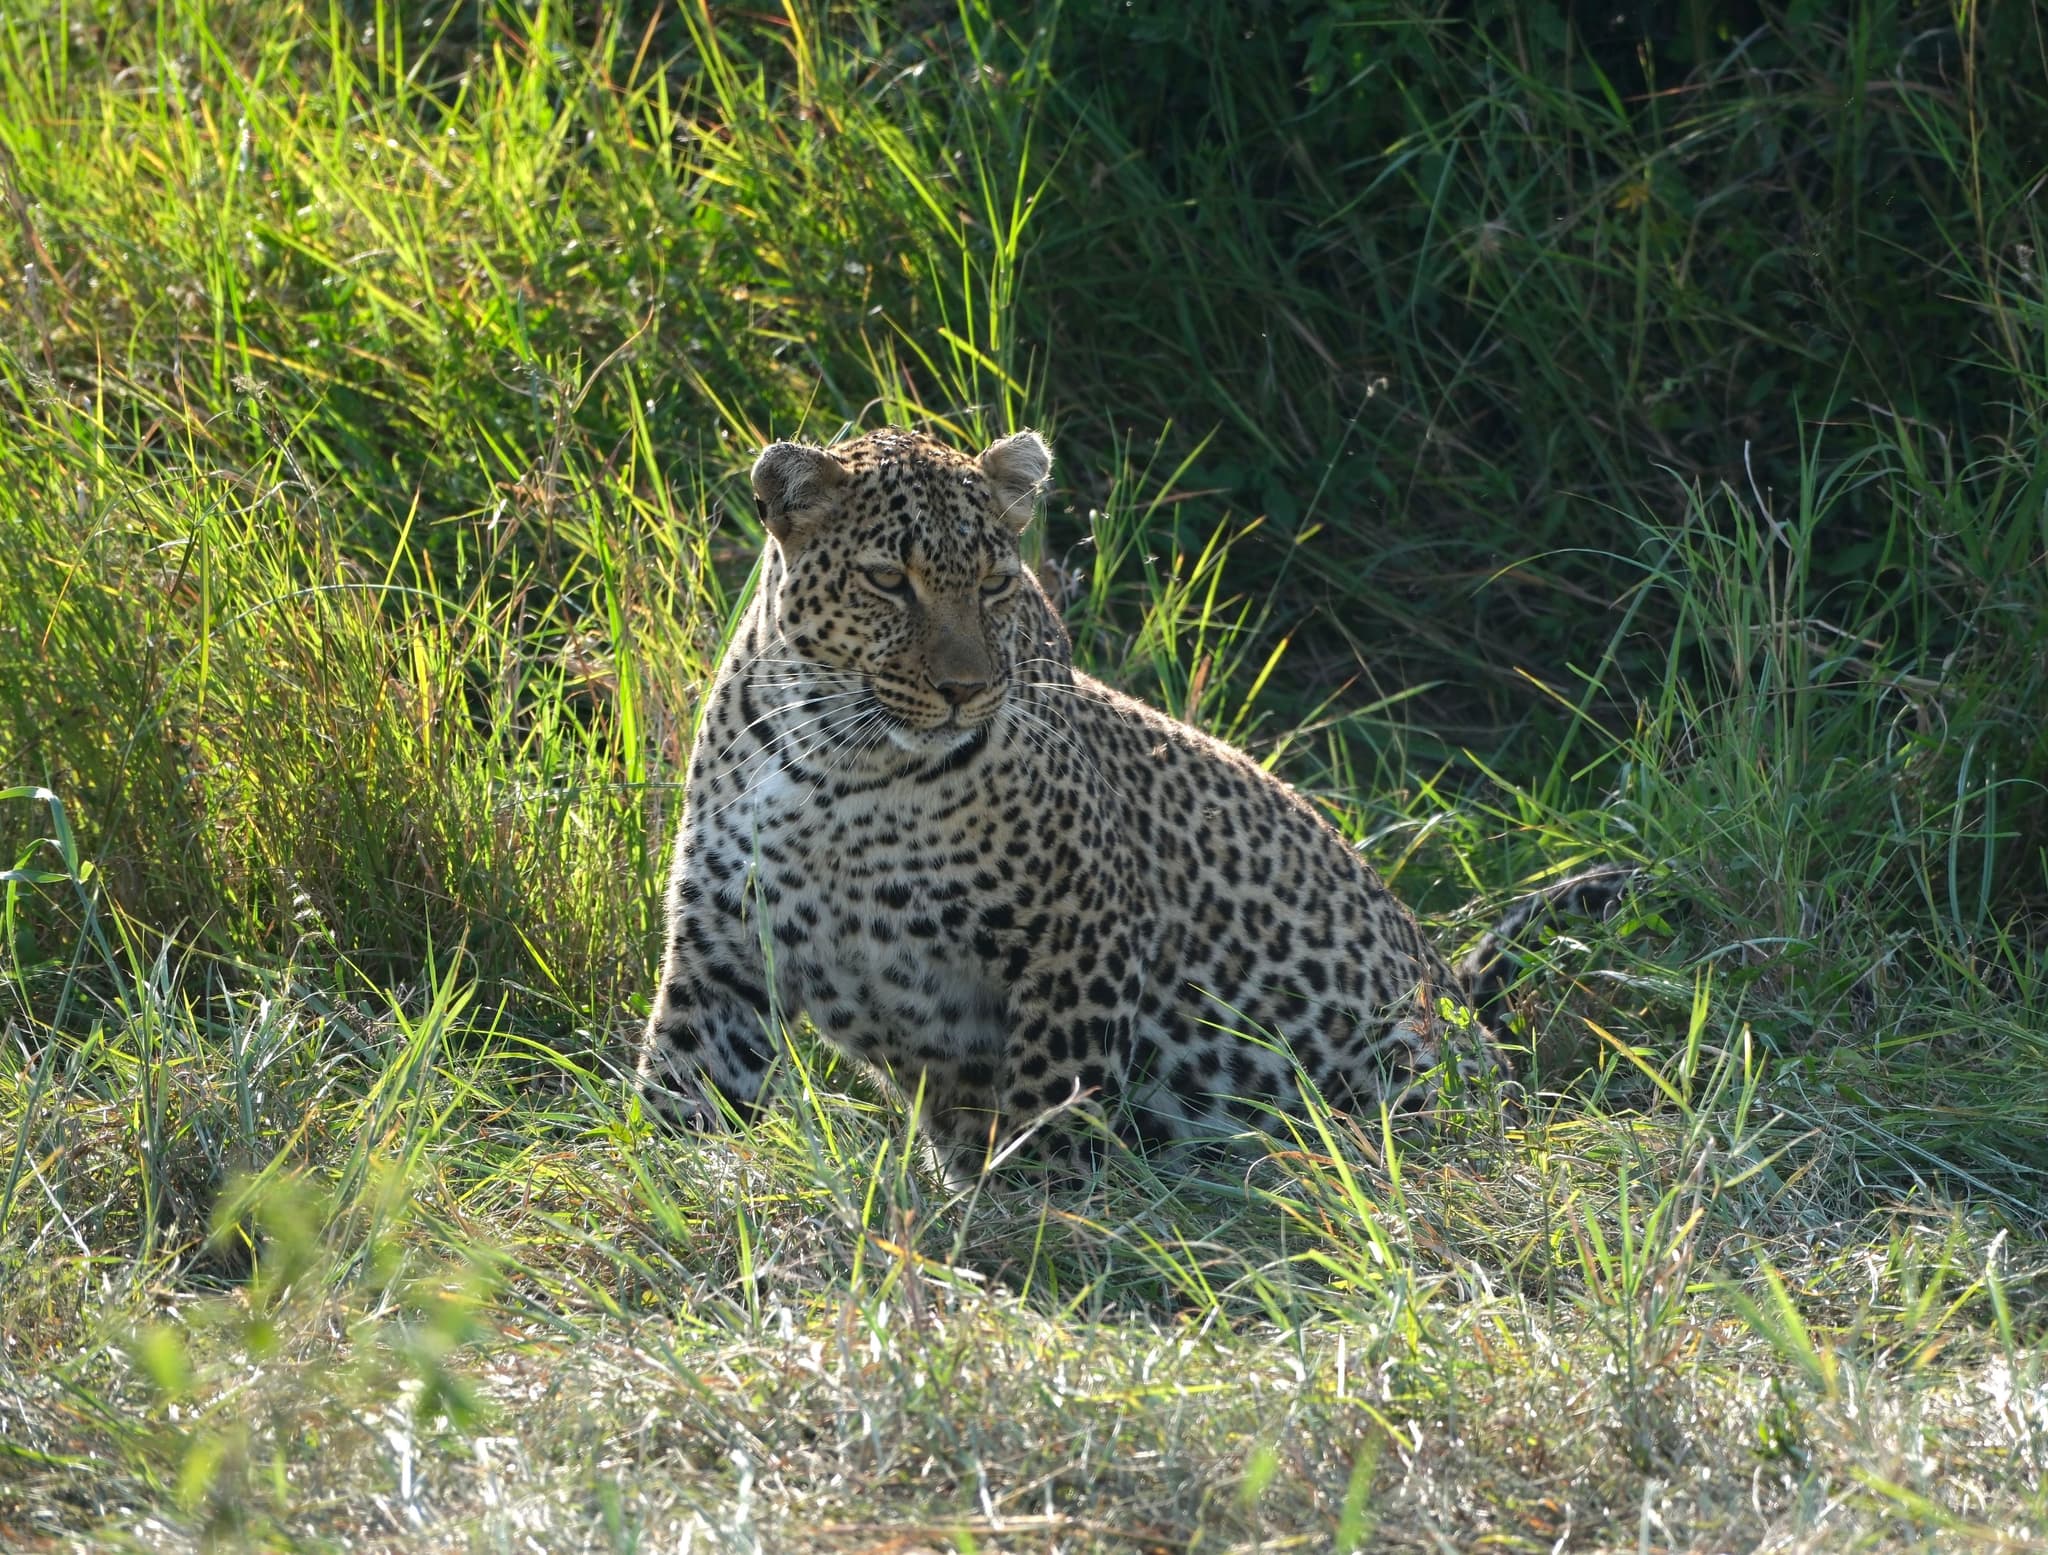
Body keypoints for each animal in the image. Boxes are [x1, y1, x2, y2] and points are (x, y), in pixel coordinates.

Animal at [636, 425, 1630, 1178]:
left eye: (993, 584)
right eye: (889, 579)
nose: (965, 690)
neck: (841, 767)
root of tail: (1462, 1002)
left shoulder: (1083, 926)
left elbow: (1053, 1086)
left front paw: (1038, 1209)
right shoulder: (722, 947)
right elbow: (679, 1089)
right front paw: (656, 1191)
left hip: (1414, 1061)